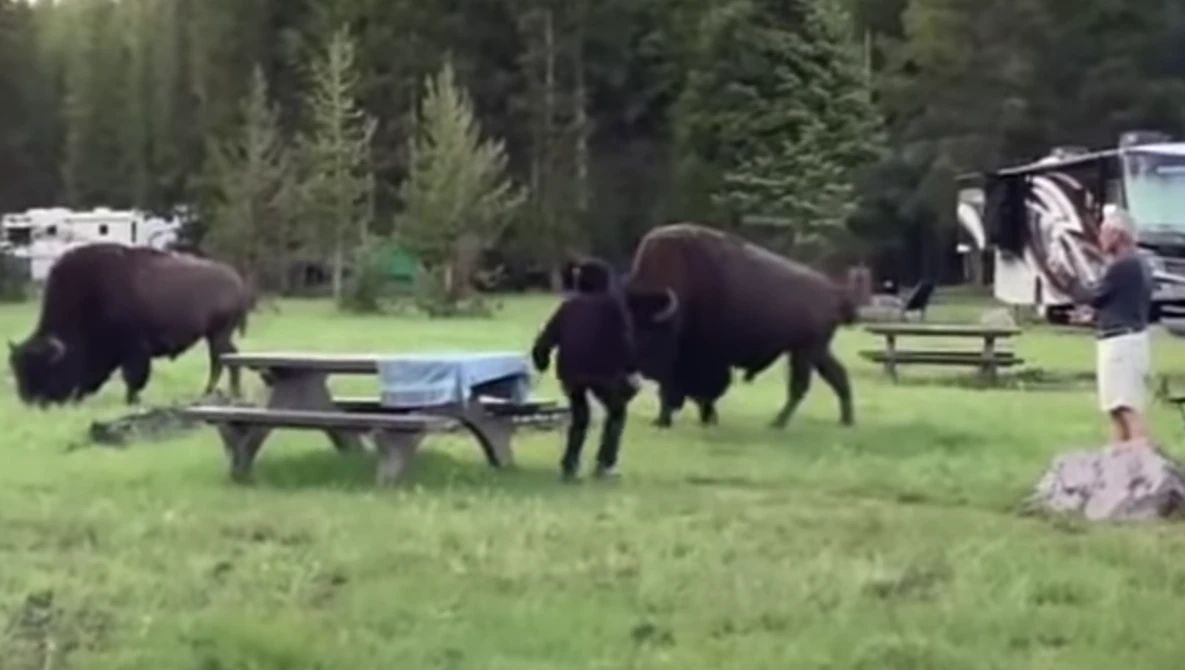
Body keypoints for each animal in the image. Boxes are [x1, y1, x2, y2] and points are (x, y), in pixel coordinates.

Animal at [9, 243, 252, 406]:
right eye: (18, 371)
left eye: (44, 370)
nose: (29, 401)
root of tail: (237, 280)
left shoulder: (134, 349)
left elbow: (133, 377)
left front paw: (131, 400)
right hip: (215, 336)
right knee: (226, 359)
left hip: (218, 334)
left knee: (222, 360)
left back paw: (215, 392)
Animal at [623, 222, 856, 428]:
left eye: (644, 331)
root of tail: (833, 292)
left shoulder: (691, 359)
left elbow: (681, 389)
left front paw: (667, 420)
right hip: (814, 351)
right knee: (837, 376)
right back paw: (845, 421)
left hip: (805, 351)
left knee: (800, 386)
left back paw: (777, 423)